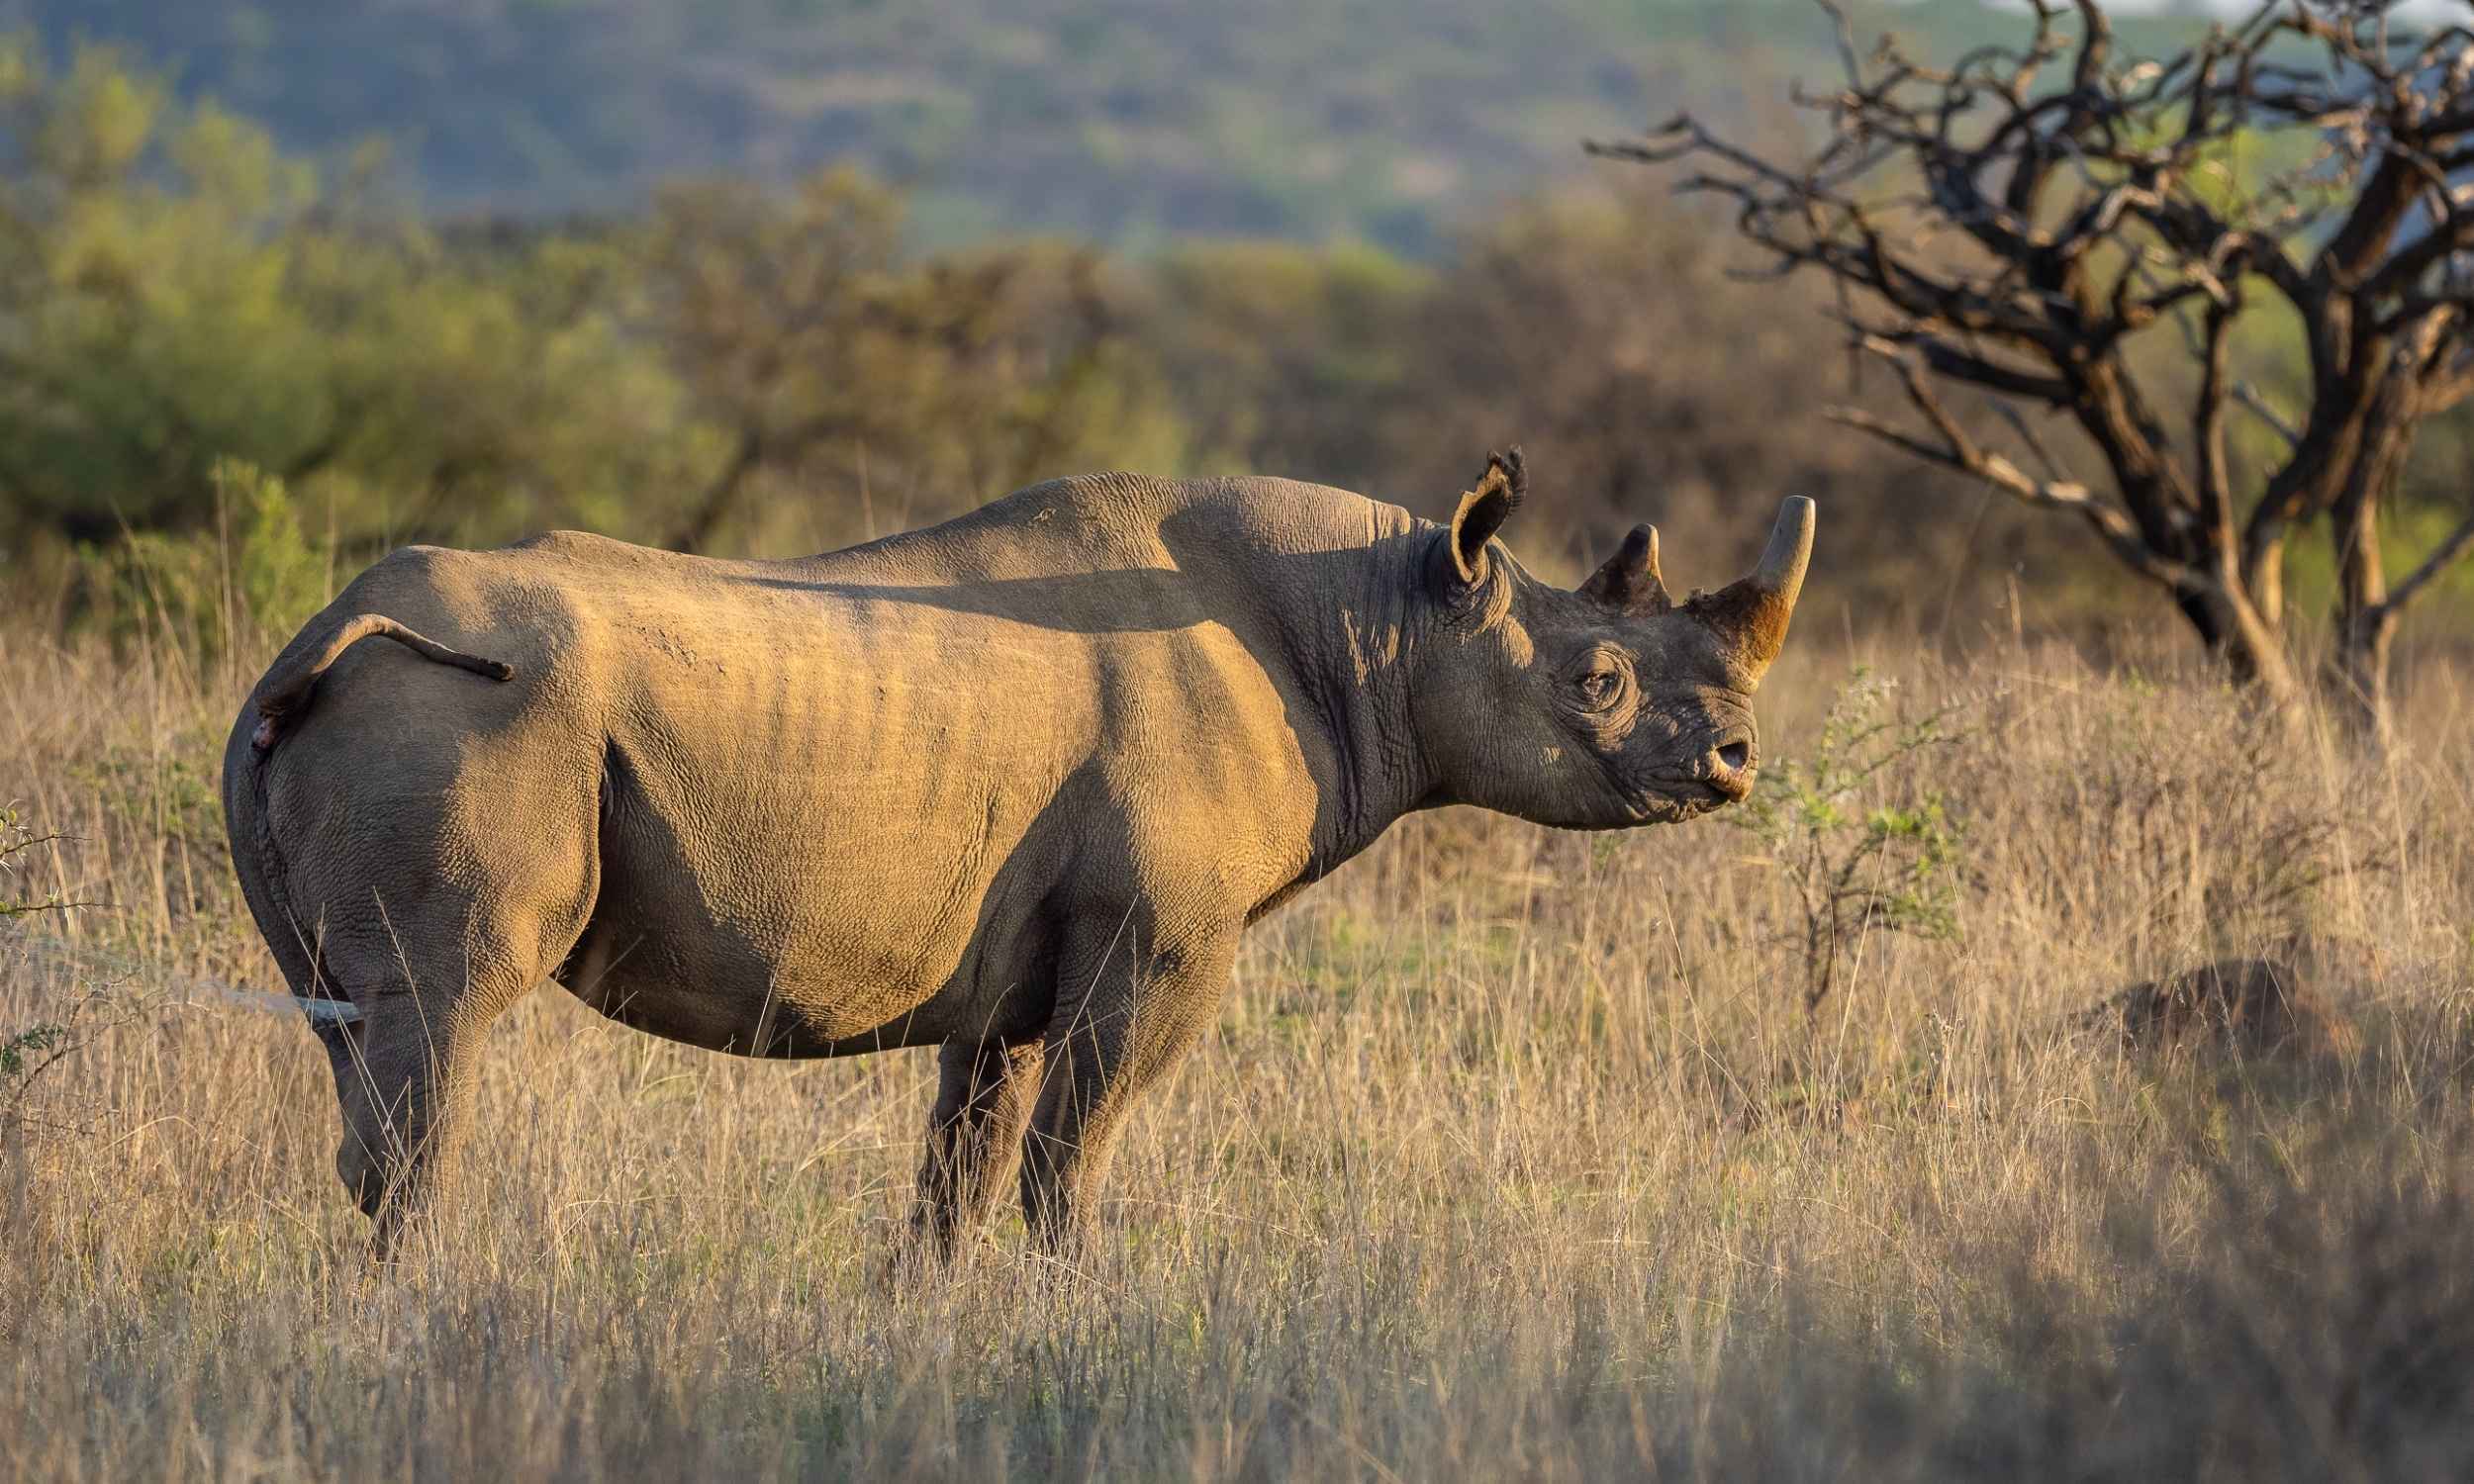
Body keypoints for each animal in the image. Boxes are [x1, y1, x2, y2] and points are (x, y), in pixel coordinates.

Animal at [222, 451, 1813, 1255]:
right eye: (1599, 684)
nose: (1737, 764)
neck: (1391, 617)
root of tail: (319, 636)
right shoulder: (1164, 939)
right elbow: (1074, 1148)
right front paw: (1078, 1314)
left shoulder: (1011, 974)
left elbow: (968, 1163)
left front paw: (934, 1322)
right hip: (468, 714)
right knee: (443, 1018)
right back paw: (423, 1306)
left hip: (334, 722)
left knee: (356, 1032)